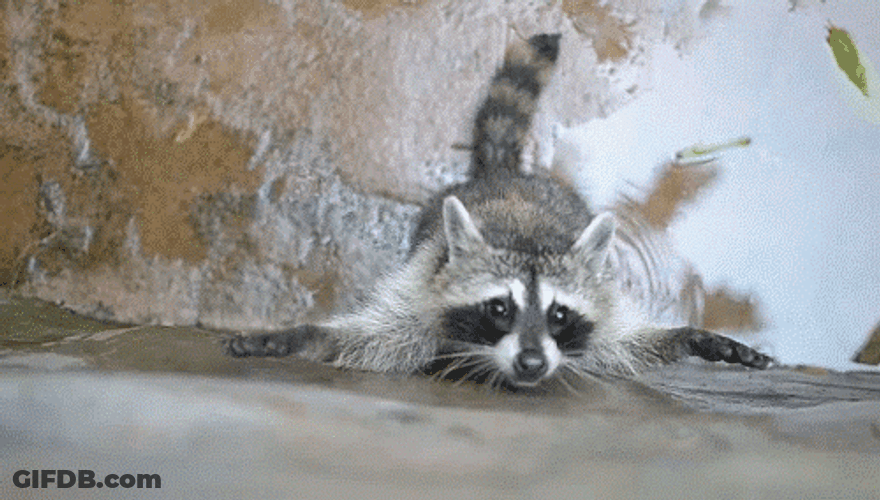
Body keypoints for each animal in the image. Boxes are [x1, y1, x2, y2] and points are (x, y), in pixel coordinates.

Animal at [226, 33, 773, 388]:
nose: (532, 364)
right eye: (499, 308)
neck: (526, 235)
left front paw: (688, 338)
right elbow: (367, 341)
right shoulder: (421, 296)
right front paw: (297, 337)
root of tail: (505, 172)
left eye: (558, 313)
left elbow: (626, 346)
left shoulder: (597, 316)